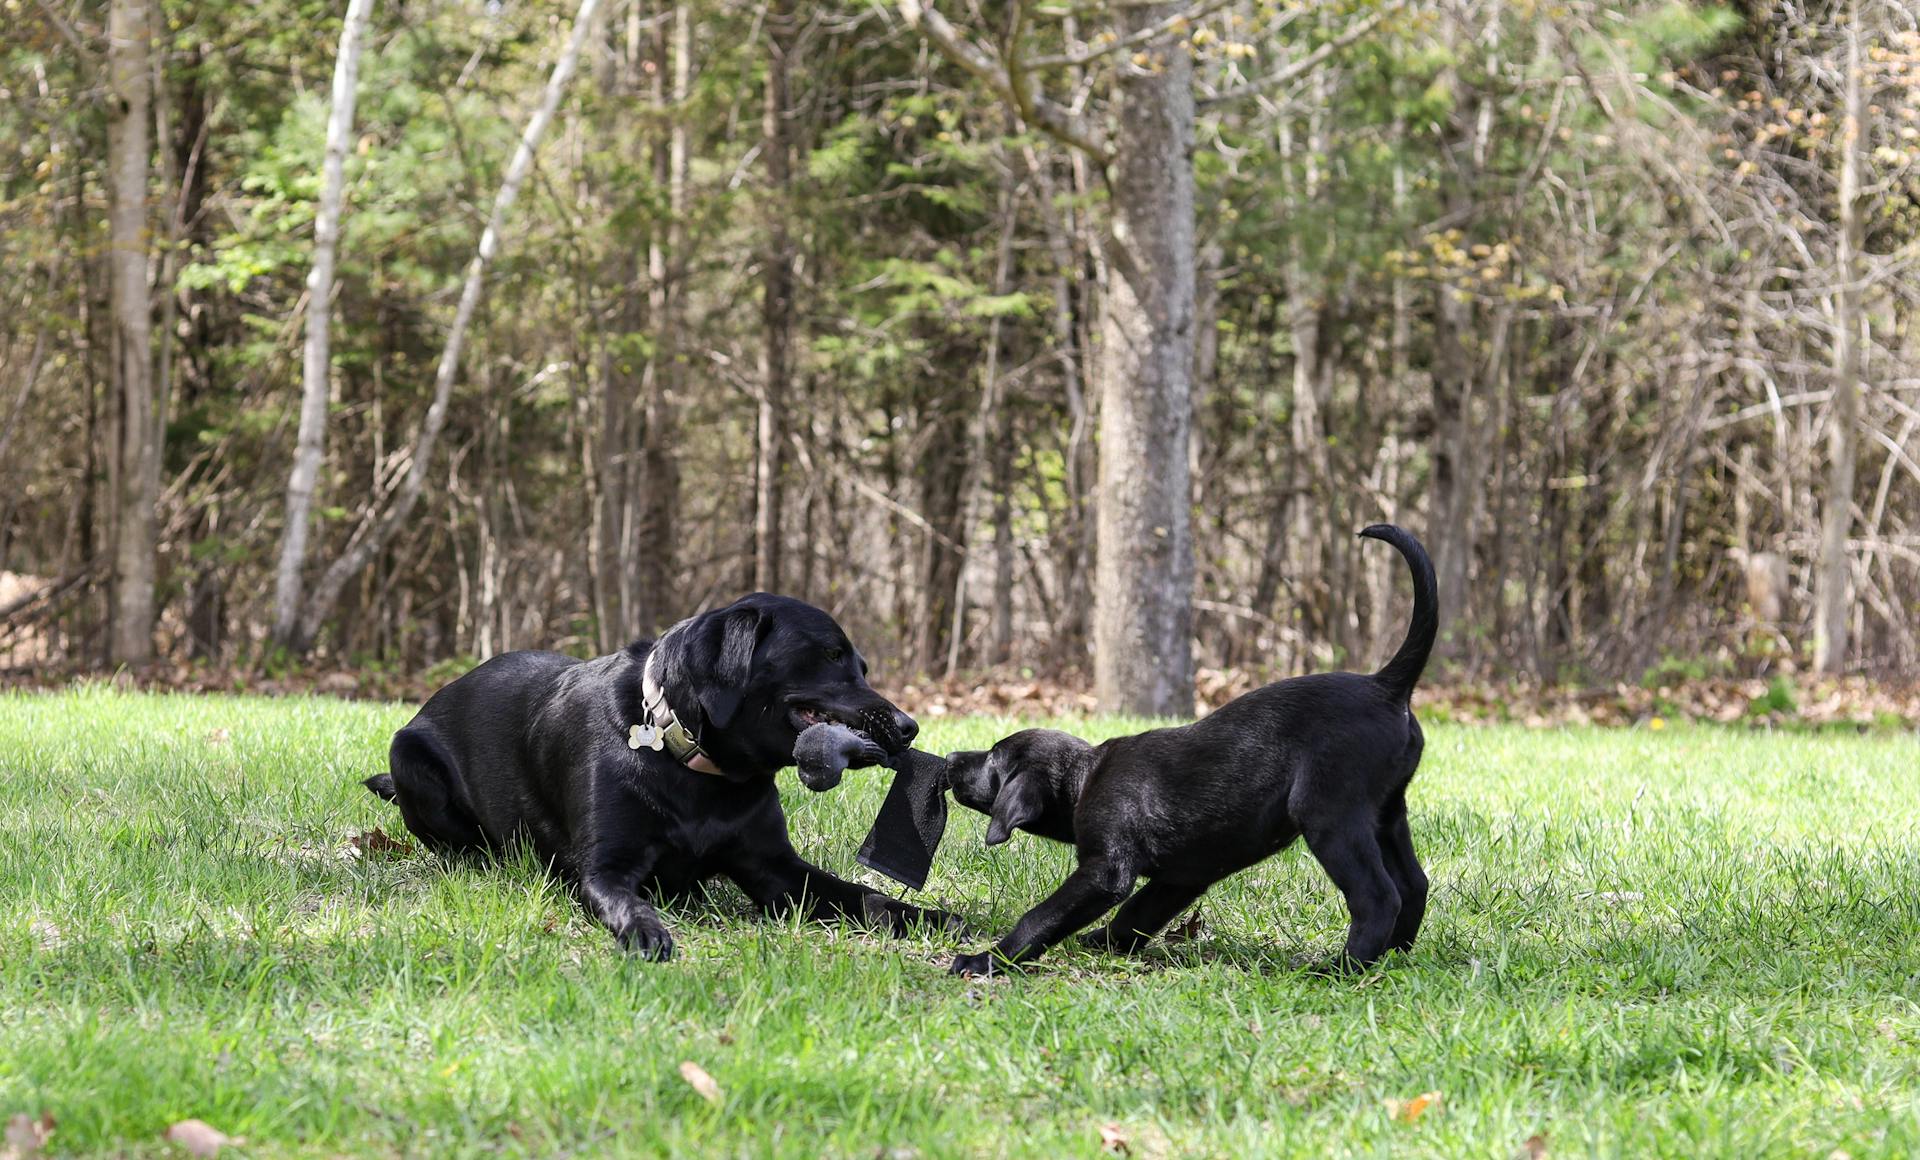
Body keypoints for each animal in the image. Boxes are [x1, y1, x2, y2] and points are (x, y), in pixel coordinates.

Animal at [360, 595, 952, 956]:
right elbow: (628, 902)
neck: (701, 771)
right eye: (830, 655)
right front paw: (647, 932)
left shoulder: (776, 871)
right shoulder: (605, 870)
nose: (909, 726)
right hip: (410, 758)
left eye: (863, 668)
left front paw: (934, 919)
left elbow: (866, 896)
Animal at [936, 530, 1436, 975]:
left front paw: (989, 960)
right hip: (1386, 814)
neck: (1084, 778)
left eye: (994, 758)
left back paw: (1340, 970)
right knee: (1413, 885)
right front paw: (1104, 943)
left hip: (1330, 815)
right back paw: (1393, 956)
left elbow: (1042, 917)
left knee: (1378, 897)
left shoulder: (1105, 870)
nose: (951, 759)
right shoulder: (1181, 877)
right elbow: (1136, 915)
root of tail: (1386, 686)